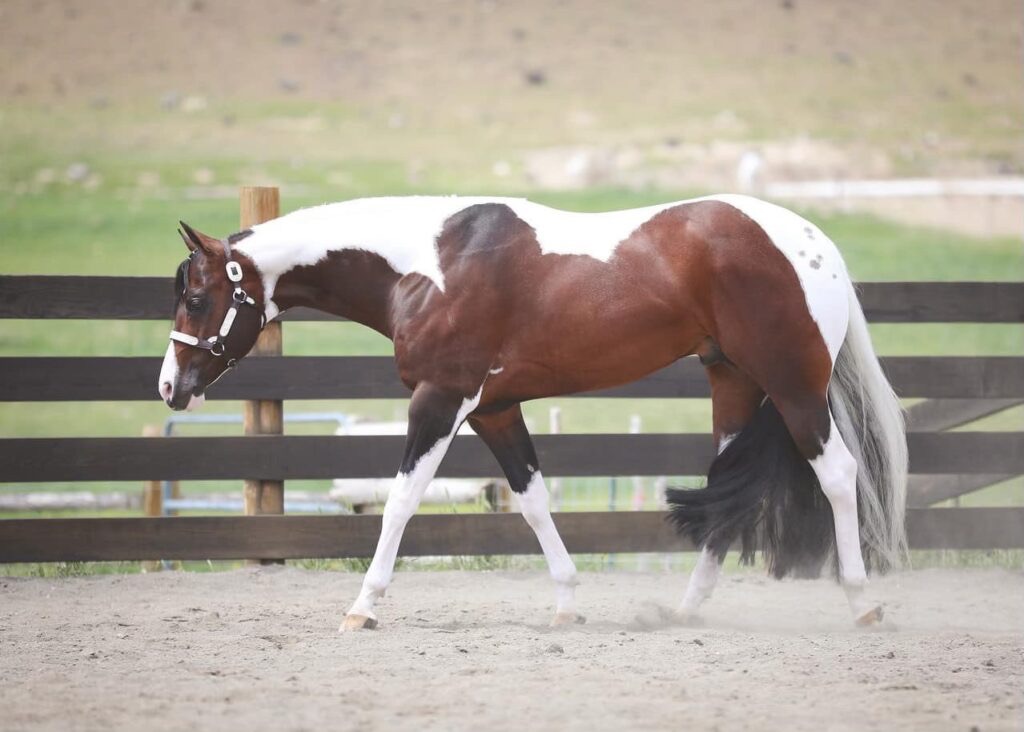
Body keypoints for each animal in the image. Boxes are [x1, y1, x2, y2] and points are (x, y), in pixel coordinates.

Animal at [155, 194, 909, 630]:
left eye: (196, 297)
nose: (169, 387)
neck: (426, 265)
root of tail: (814, 243)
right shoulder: (495, 409)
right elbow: (534, 501)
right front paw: (568, 602)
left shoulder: (441, 399)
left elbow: (401, 501)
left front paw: (363, 606)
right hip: (732, 382)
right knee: (727, 489)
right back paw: (685, 608)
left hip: (794, 386)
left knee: (839, 477)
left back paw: (864, 602)